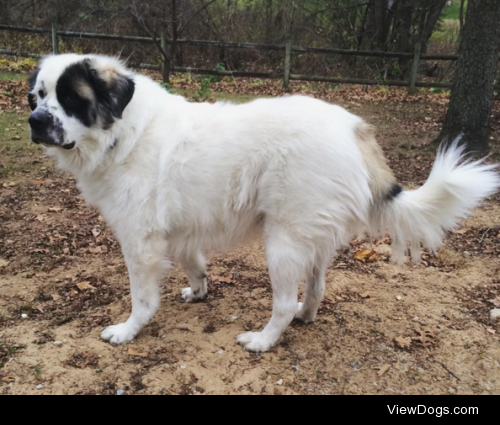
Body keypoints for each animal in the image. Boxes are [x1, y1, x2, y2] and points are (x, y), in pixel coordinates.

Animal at [28, 53, 500, 352]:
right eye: (37, 96)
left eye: (71, 98)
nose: (34, 121)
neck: (124, 132)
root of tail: (353, 128)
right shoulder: (179, 234)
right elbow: (195, 265)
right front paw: (199, 292)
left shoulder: (140, 244)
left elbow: (142, 299)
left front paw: (128, 331)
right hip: (310, 238)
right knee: (316, 286)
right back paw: (308, 315)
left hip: (282, 243)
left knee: (284, 304)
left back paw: (263, 341)